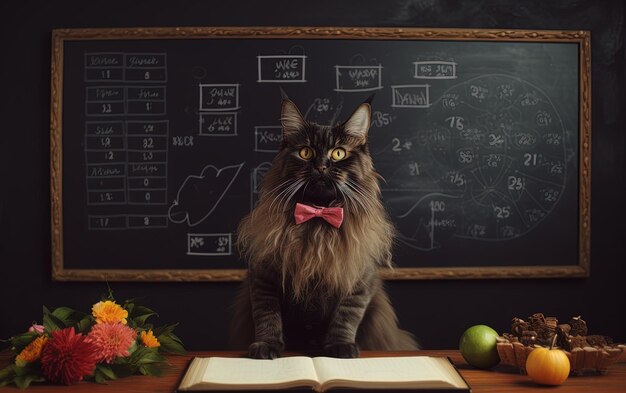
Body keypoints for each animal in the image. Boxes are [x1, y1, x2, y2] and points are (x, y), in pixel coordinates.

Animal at [229, 95, 414, 358]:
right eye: (306, 152)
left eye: (338, 153)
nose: (321, 166)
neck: (318, 217)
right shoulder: (264, 276)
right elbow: (267, 316)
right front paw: (266, 346)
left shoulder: (358, 280)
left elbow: (346, 316)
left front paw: (340, 347)